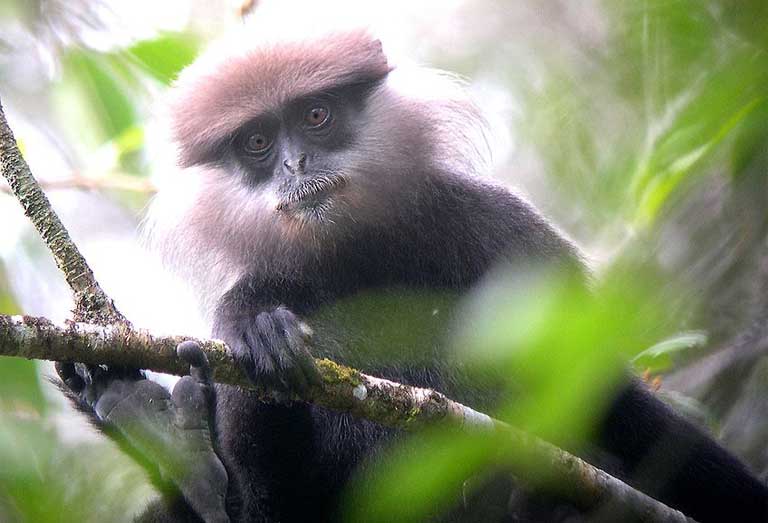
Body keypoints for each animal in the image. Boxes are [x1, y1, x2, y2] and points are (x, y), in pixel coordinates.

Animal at [58, 30, 768, 523]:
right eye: (256, 143)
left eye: (315, 116)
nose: (295, 164)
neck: (359, 253)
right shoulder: (242, 296)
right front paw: (264, 334)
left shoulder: (498, 223)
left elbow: (592, 384)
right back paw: (179, 453)